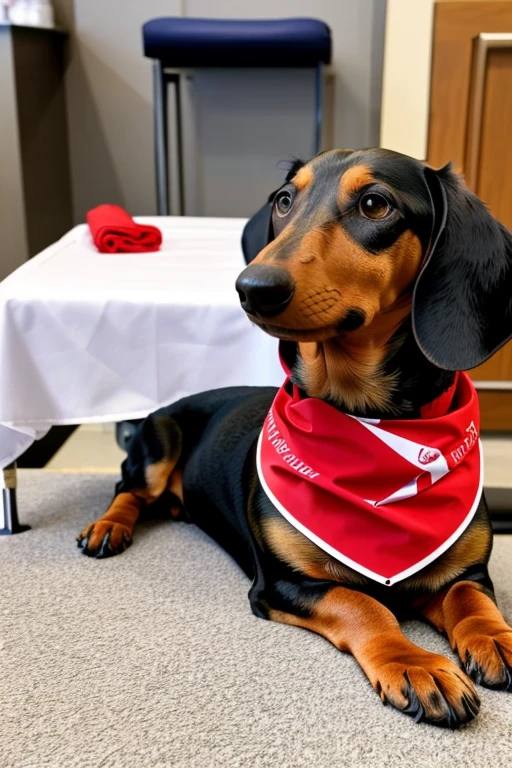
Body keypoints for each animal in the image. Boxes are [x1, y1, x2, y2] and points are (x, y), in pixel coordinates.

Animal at [76, 148, 512, 728]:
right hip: (158, 439)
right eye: (284, 200)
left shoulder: (465, 572)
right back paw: (108, 527)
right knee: (127, 489)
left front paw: (498, 637)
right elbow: (365, 604)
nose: (252, 287)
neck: (373, 422)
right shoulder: (284, 583)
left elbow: (470, 599)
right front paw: (417, 663)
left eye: (375, 204)